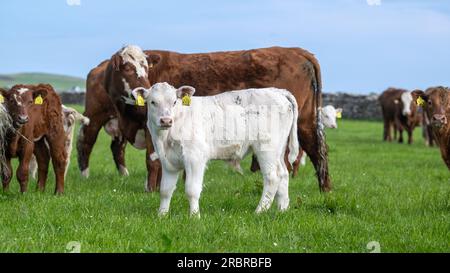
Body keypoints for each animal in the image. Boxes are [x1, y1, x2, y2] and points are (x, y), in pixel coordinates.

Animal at [76, 45, 330, 191]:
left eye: (145, 68)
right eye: (128, 68)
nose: (147, 86)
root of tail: (297, 51)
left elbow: (153, 159)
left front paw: (152, 189)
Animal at [140, 82, 298, 216]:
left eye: (174, 102)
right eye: (153, 102)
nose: (166, 120)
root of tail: (277, 90)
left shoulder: (195, 158)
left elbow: (192, 190)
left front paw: (194, 216)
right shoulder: (168, 162)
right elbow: (165, 190)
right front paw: (162, 215)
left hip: (267, 149)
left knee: (272, 177)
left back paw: (259, 211)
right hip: (279, 150)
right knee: (283, 174)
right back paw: (282, 209)